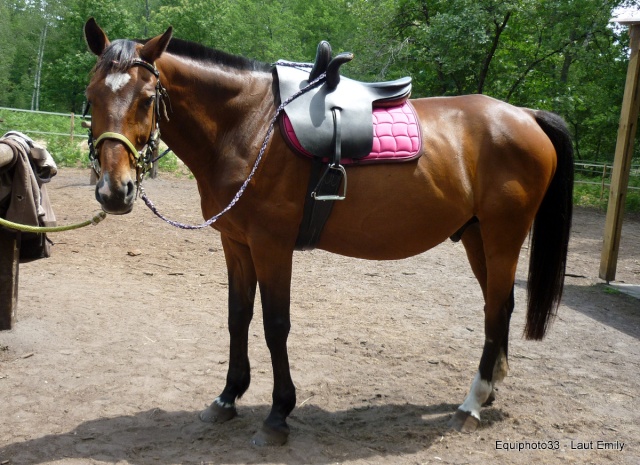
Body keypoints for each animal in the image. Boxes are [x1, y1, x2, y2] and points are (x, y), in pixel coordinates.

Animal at [82, 19, 572, 446]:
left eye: (147, 98)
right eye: (90, 95)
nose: (114, 191)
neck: (249, 124)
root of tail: (525, 115)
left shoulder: (272, 245)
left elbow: (275, 325)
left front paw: (278, 415)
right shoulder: (236, 243)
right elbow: (238, 316)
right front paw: (227, 398)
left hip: (503, 235)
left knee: (498, 308)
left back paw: (471, 403)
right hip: (475, 236)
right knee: (498, 306)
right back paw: (487, 391)